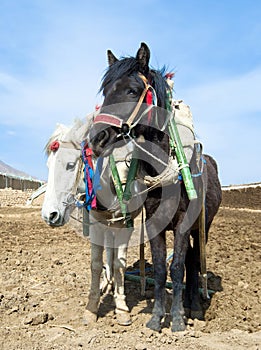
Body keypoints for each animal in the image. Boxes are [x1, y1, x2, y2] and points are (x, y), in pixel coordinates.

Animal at [41, 115, 141, 326]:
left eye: (71, 165)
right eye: (49, 166)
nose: (49, 215)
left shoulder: (124, 227)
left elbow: (120, 264)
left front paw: (122, 308)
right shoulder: (96, 227)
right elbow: (95, 264)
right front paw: (91, 308)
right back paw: (107, 282)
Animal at [88, 42, 220, 332]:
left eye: (131, 90)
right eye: (105, 91)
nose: (97, 137)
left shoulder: (183, 222)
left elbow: (178, 266)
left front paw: (178, 319)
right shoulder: (153, 222)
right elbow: (160, 268)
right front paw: (158, 317)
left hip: (202, 225)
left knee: (194, 260)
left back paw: (194, 306)